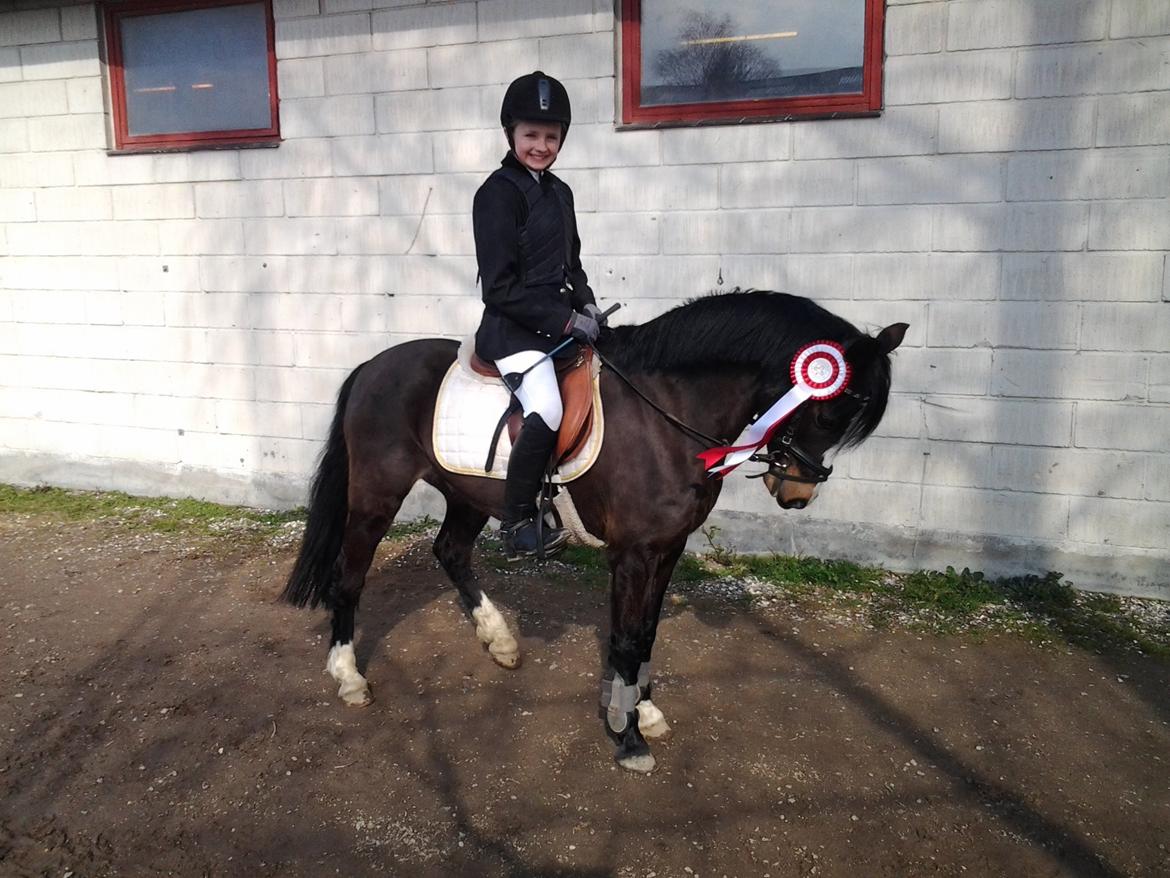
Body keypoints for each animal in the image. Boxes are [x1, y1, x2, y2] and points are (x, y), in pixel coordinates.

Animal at [280, 290, 907, 773]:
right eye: (826, 412)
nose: (797, 494)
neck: (668, 414)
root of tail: (372, 367)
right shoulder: (632, 553)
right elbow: (626, 638)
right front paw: (627, 738)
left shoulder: (667, 548)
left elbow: (647, 634)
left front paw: (645, 713)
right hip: (376, 497)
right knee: (349, 577)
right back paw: (349, 677)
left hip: (468, 494)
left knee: (450, 552)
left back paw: (499, 641)